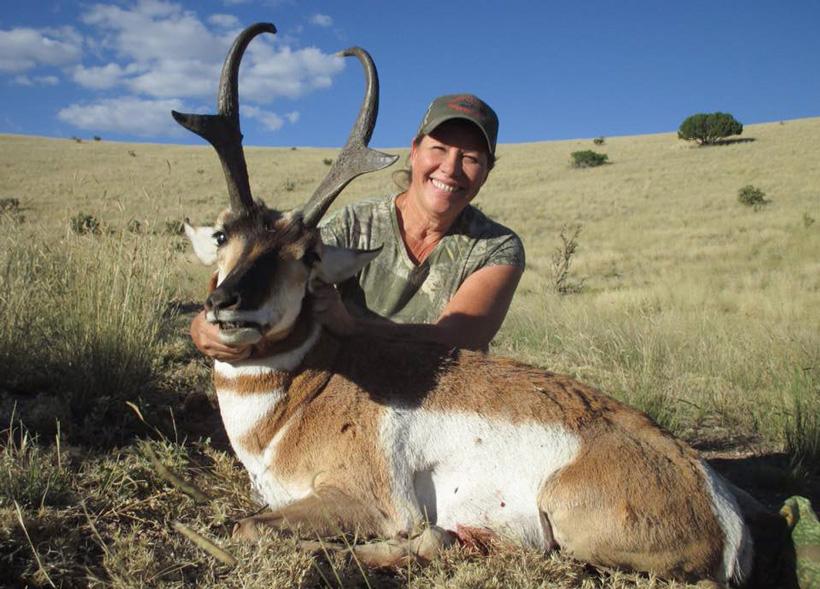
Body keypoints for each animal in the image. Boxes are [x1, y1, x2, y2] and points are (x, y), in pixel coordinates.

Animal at [177, 23, 756, 585]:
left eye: (309, 254)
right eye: (224, 235)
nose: (227, 303)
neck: (305, 393)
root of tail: (720, 504)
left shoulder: (366, 500)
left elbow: (248, 526)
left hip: (567, 521)